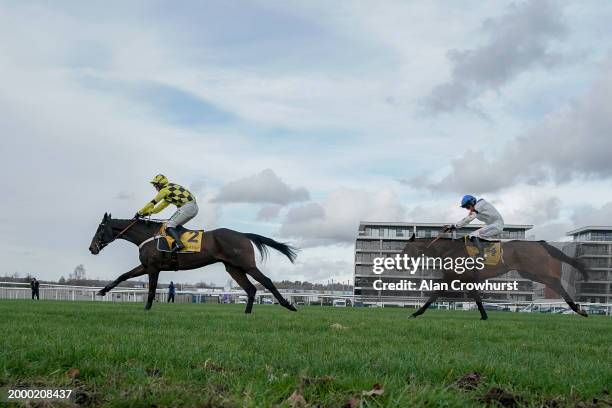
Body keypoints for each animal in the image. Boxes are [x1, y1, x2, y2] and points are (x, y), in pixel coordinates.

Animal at [89, 214, 298, 312]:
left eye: (100, 229)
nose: (92, 248)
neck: (148, 235)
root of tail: (243, 234)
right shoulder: (146, 266)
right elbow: (123, 275)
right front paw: (102, 291)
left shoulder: (153, 267)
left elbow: (151, 290)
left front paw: (147, 309)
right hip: (233, 268)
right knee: (251, 289)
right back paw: (247, 314)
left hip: (246, 264)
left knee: (266, 282)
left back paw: (288, 305)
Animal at [402, 236, 588, 318]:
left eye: (406, 248)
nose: (402, 259)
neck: (449, 250)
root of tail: (538, 243)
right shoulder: (464, 279)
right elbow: (476, 298)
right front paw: (484, 315)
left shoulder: (452, 277)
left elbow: (433, 295)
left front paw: (416, 313)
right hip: (528, 272)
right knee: (553, 282)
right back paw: (578, 309)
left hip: (537, 269)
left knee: (555, 282)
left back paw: (578, 309)